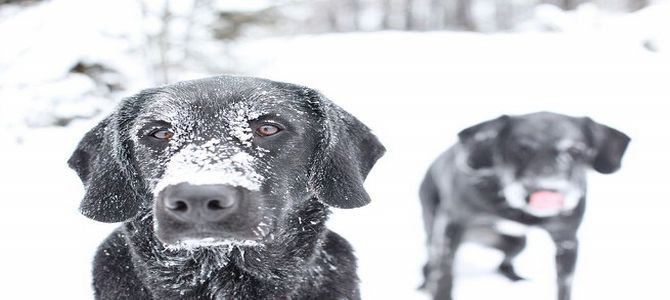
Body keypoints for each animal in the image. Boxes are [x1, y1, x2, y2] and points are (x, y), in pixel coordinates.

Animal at [422, 112, 632, 300]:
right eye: (521, 149)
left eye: (575, 151)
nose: (547, 191)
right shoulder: (452, 227)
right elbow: (444, 275)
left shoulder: (567, 239)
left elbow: (564, 286)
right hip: (433, 233)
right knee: (430, 264)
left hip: (518, 244)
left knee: (504, 264)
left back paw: (515, 278)